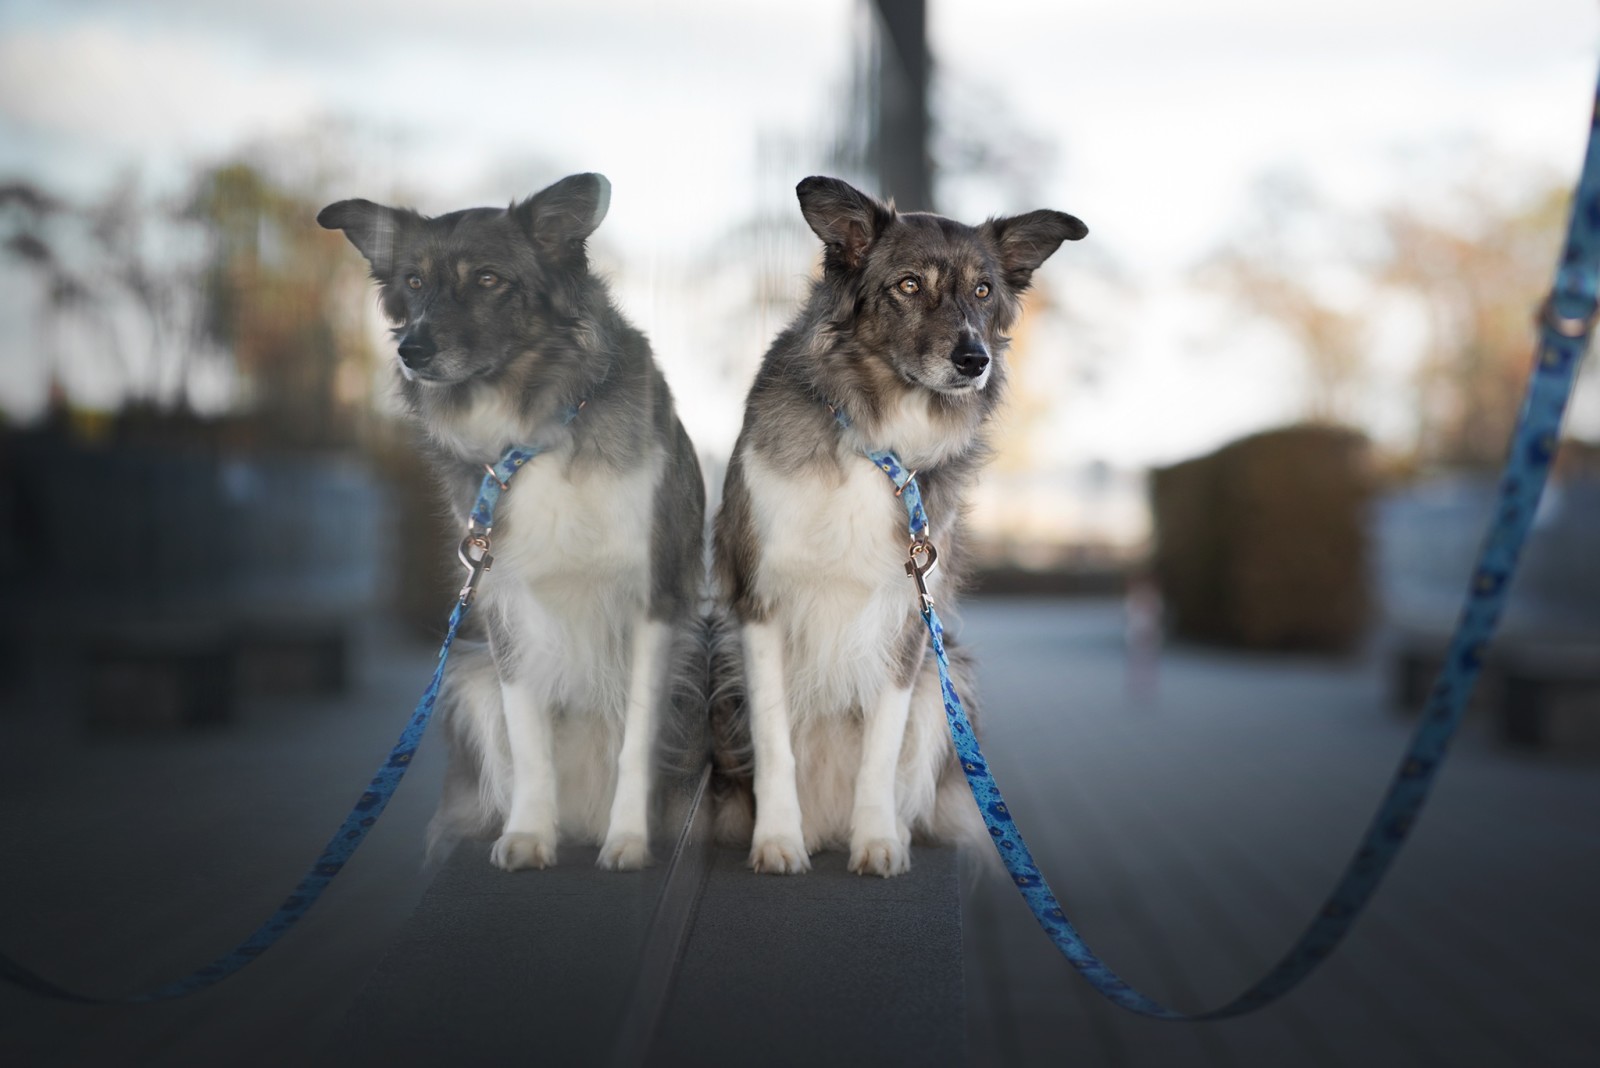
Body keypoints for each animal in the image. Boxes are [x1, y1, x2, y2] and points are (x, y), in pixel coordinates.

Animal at [321, 173, 704, 869]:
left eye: (488, 279)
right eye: (413, 281)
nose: (412, 350)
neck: (536, 433)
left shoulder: (655, 600)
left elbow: (636, 738)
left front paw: (629, 840)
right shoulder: (504, 601)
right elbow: (528, 736)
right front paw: (528, 835)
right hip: (469, 679)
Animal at [713, 175, 1088, 876]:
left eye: (983, 290)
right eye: (909, 285)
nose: (974, 360)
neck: (875, 441)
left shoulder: (910, 618)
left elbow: (882, 750)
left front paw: (878, 841)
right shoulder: (758, 605)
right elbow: (774, 739)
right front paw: (777, 840)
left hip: (952, 677)